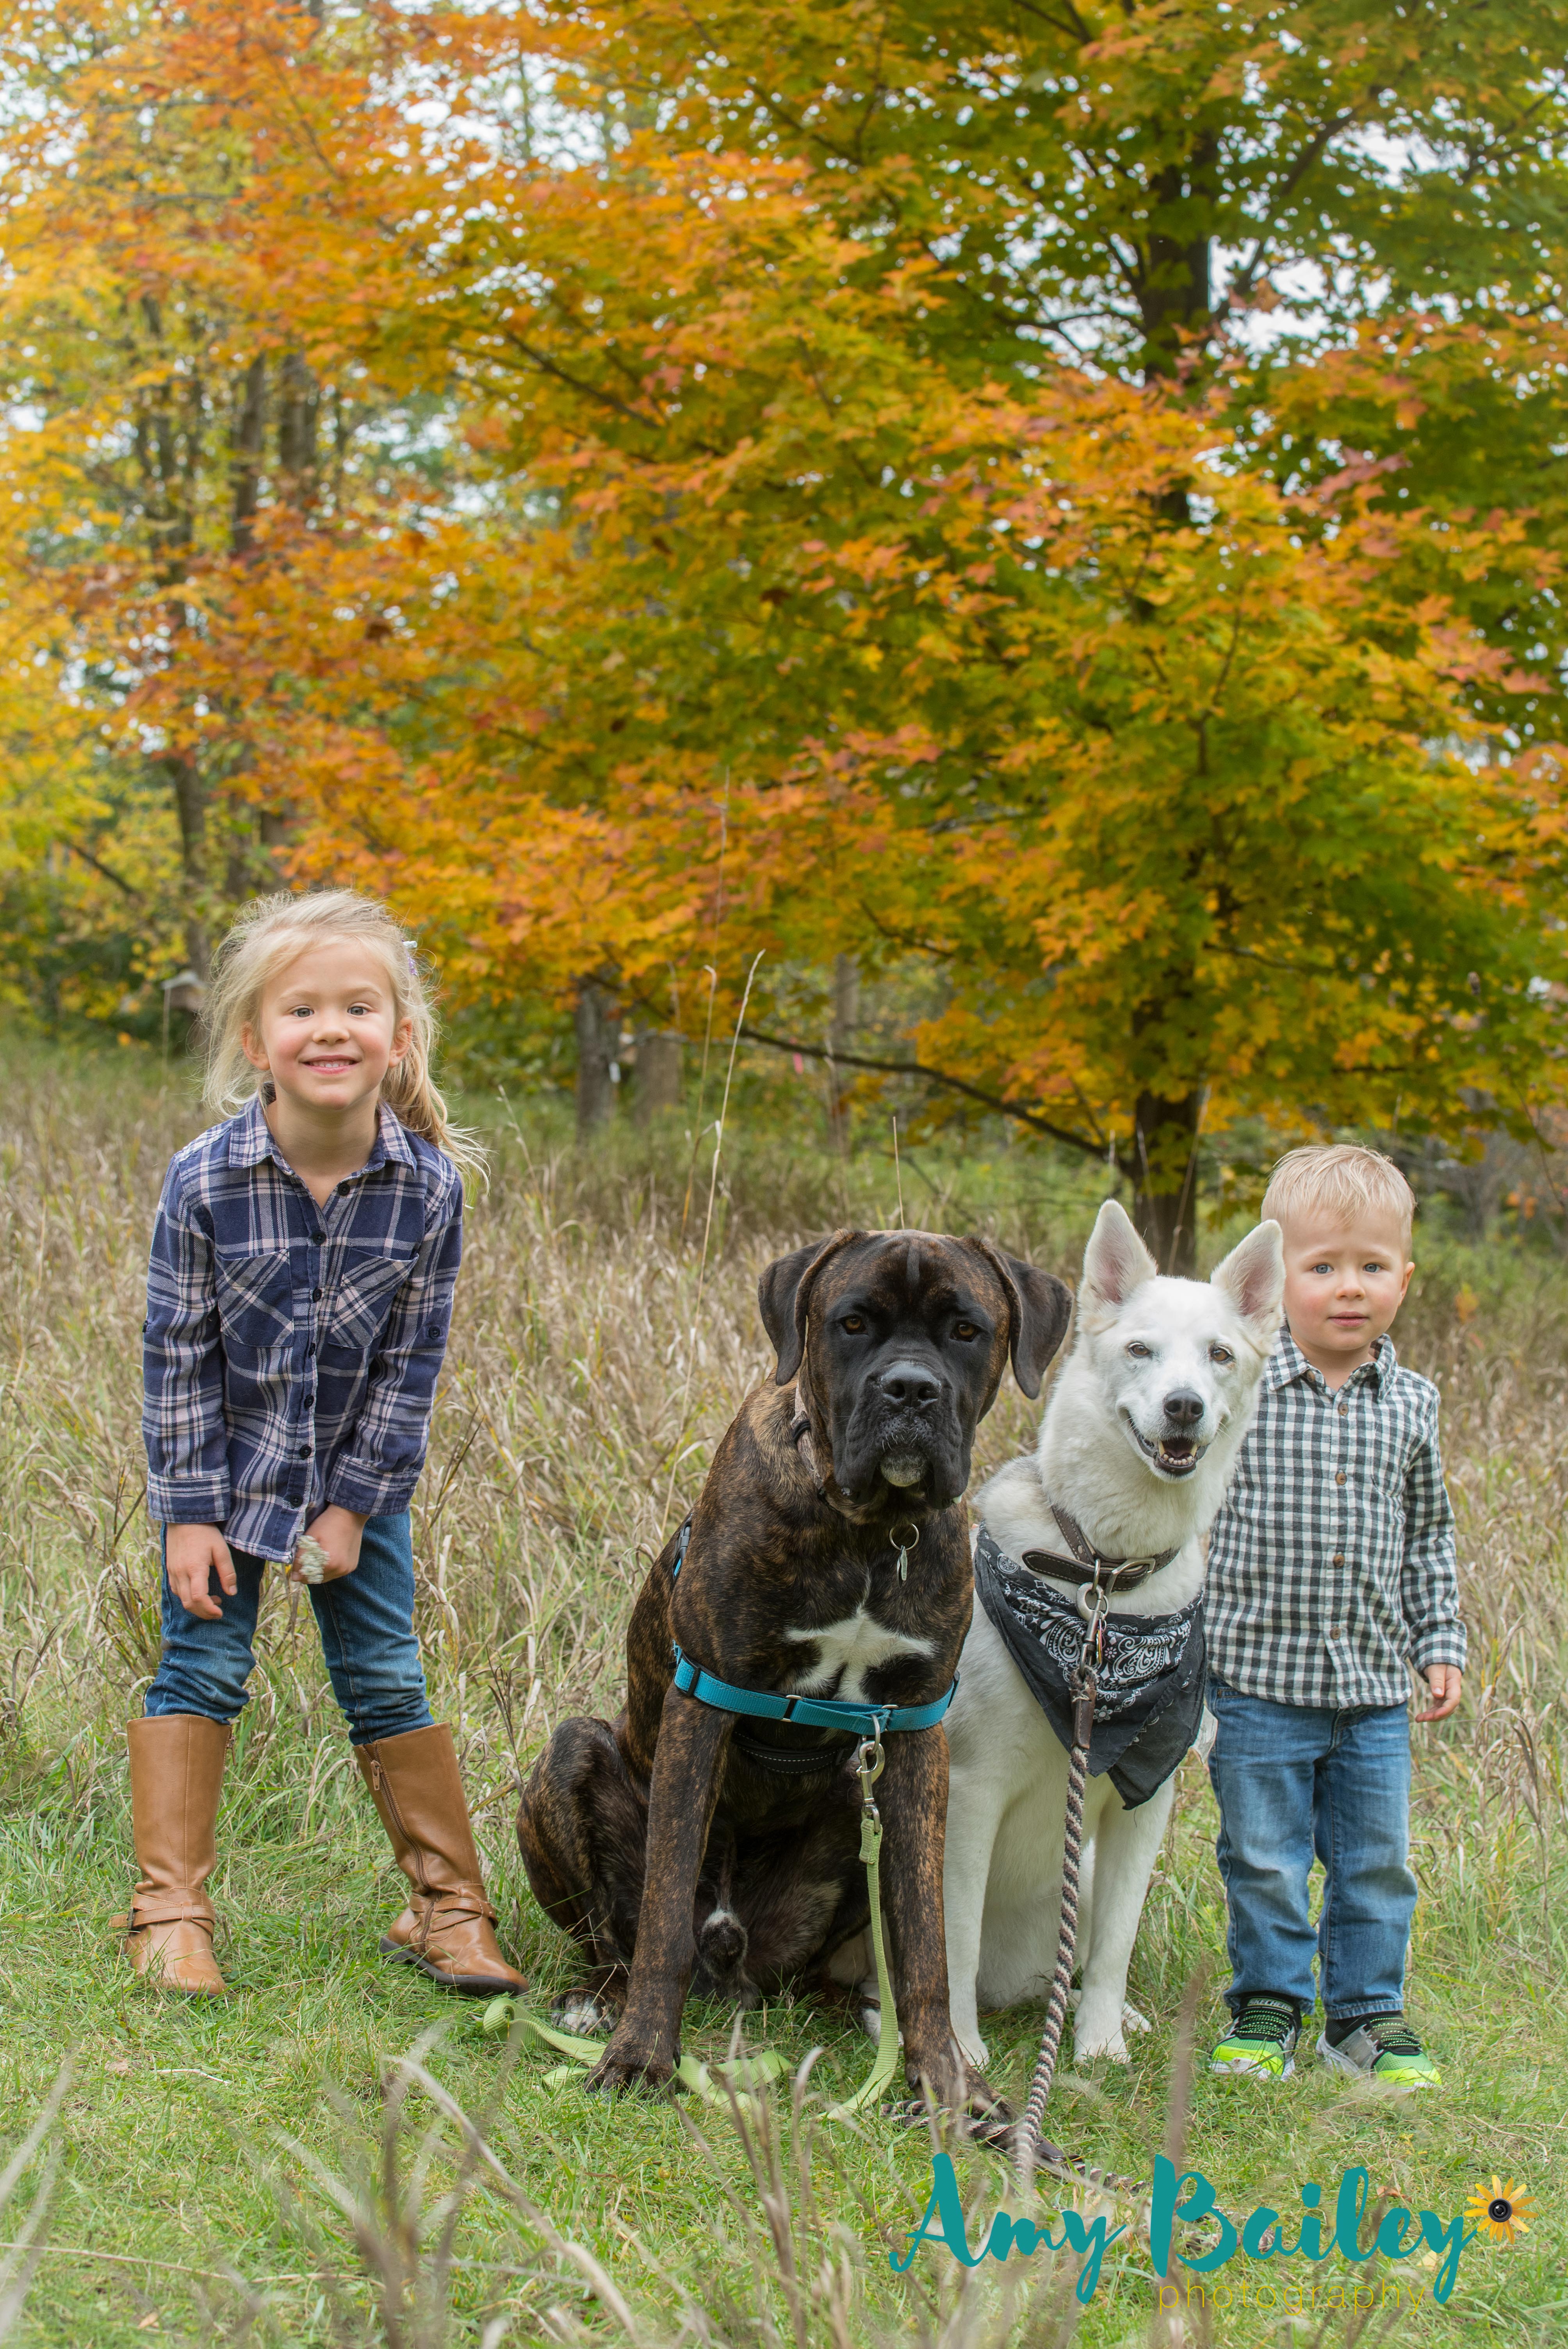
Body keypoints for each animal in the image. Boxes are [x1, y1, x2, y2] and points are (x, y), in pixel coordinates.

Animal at [517, 1226, 1072, 2117]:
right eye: (852, 1322)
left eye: (966, 1329)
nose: (909, 1388)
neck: (872, 1531)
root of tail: (732, 1950)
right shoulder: (702, 1703)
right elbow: (664, 1914)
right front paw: (641, 2056)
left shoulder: (914, 1736)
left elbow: (924, 1939)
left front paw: (949, 2081)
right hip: (572, 1752)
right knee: (617, 1939)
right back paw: (597, 2002)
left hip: (853, 1805)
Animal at [941, 1199, 1284, 2070]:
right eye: (1140, 1349)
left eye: (1219, 1355)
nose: (1183, 1405)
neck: (1103, 1575)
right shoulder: (969, 1791)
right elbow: (949, 1941)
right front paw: (956, 2052)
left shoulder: (1142, 1805)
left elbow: (1116, 1947)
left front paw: (1097, 2048)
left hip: (1088, 1868)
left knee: (1079, 1956)